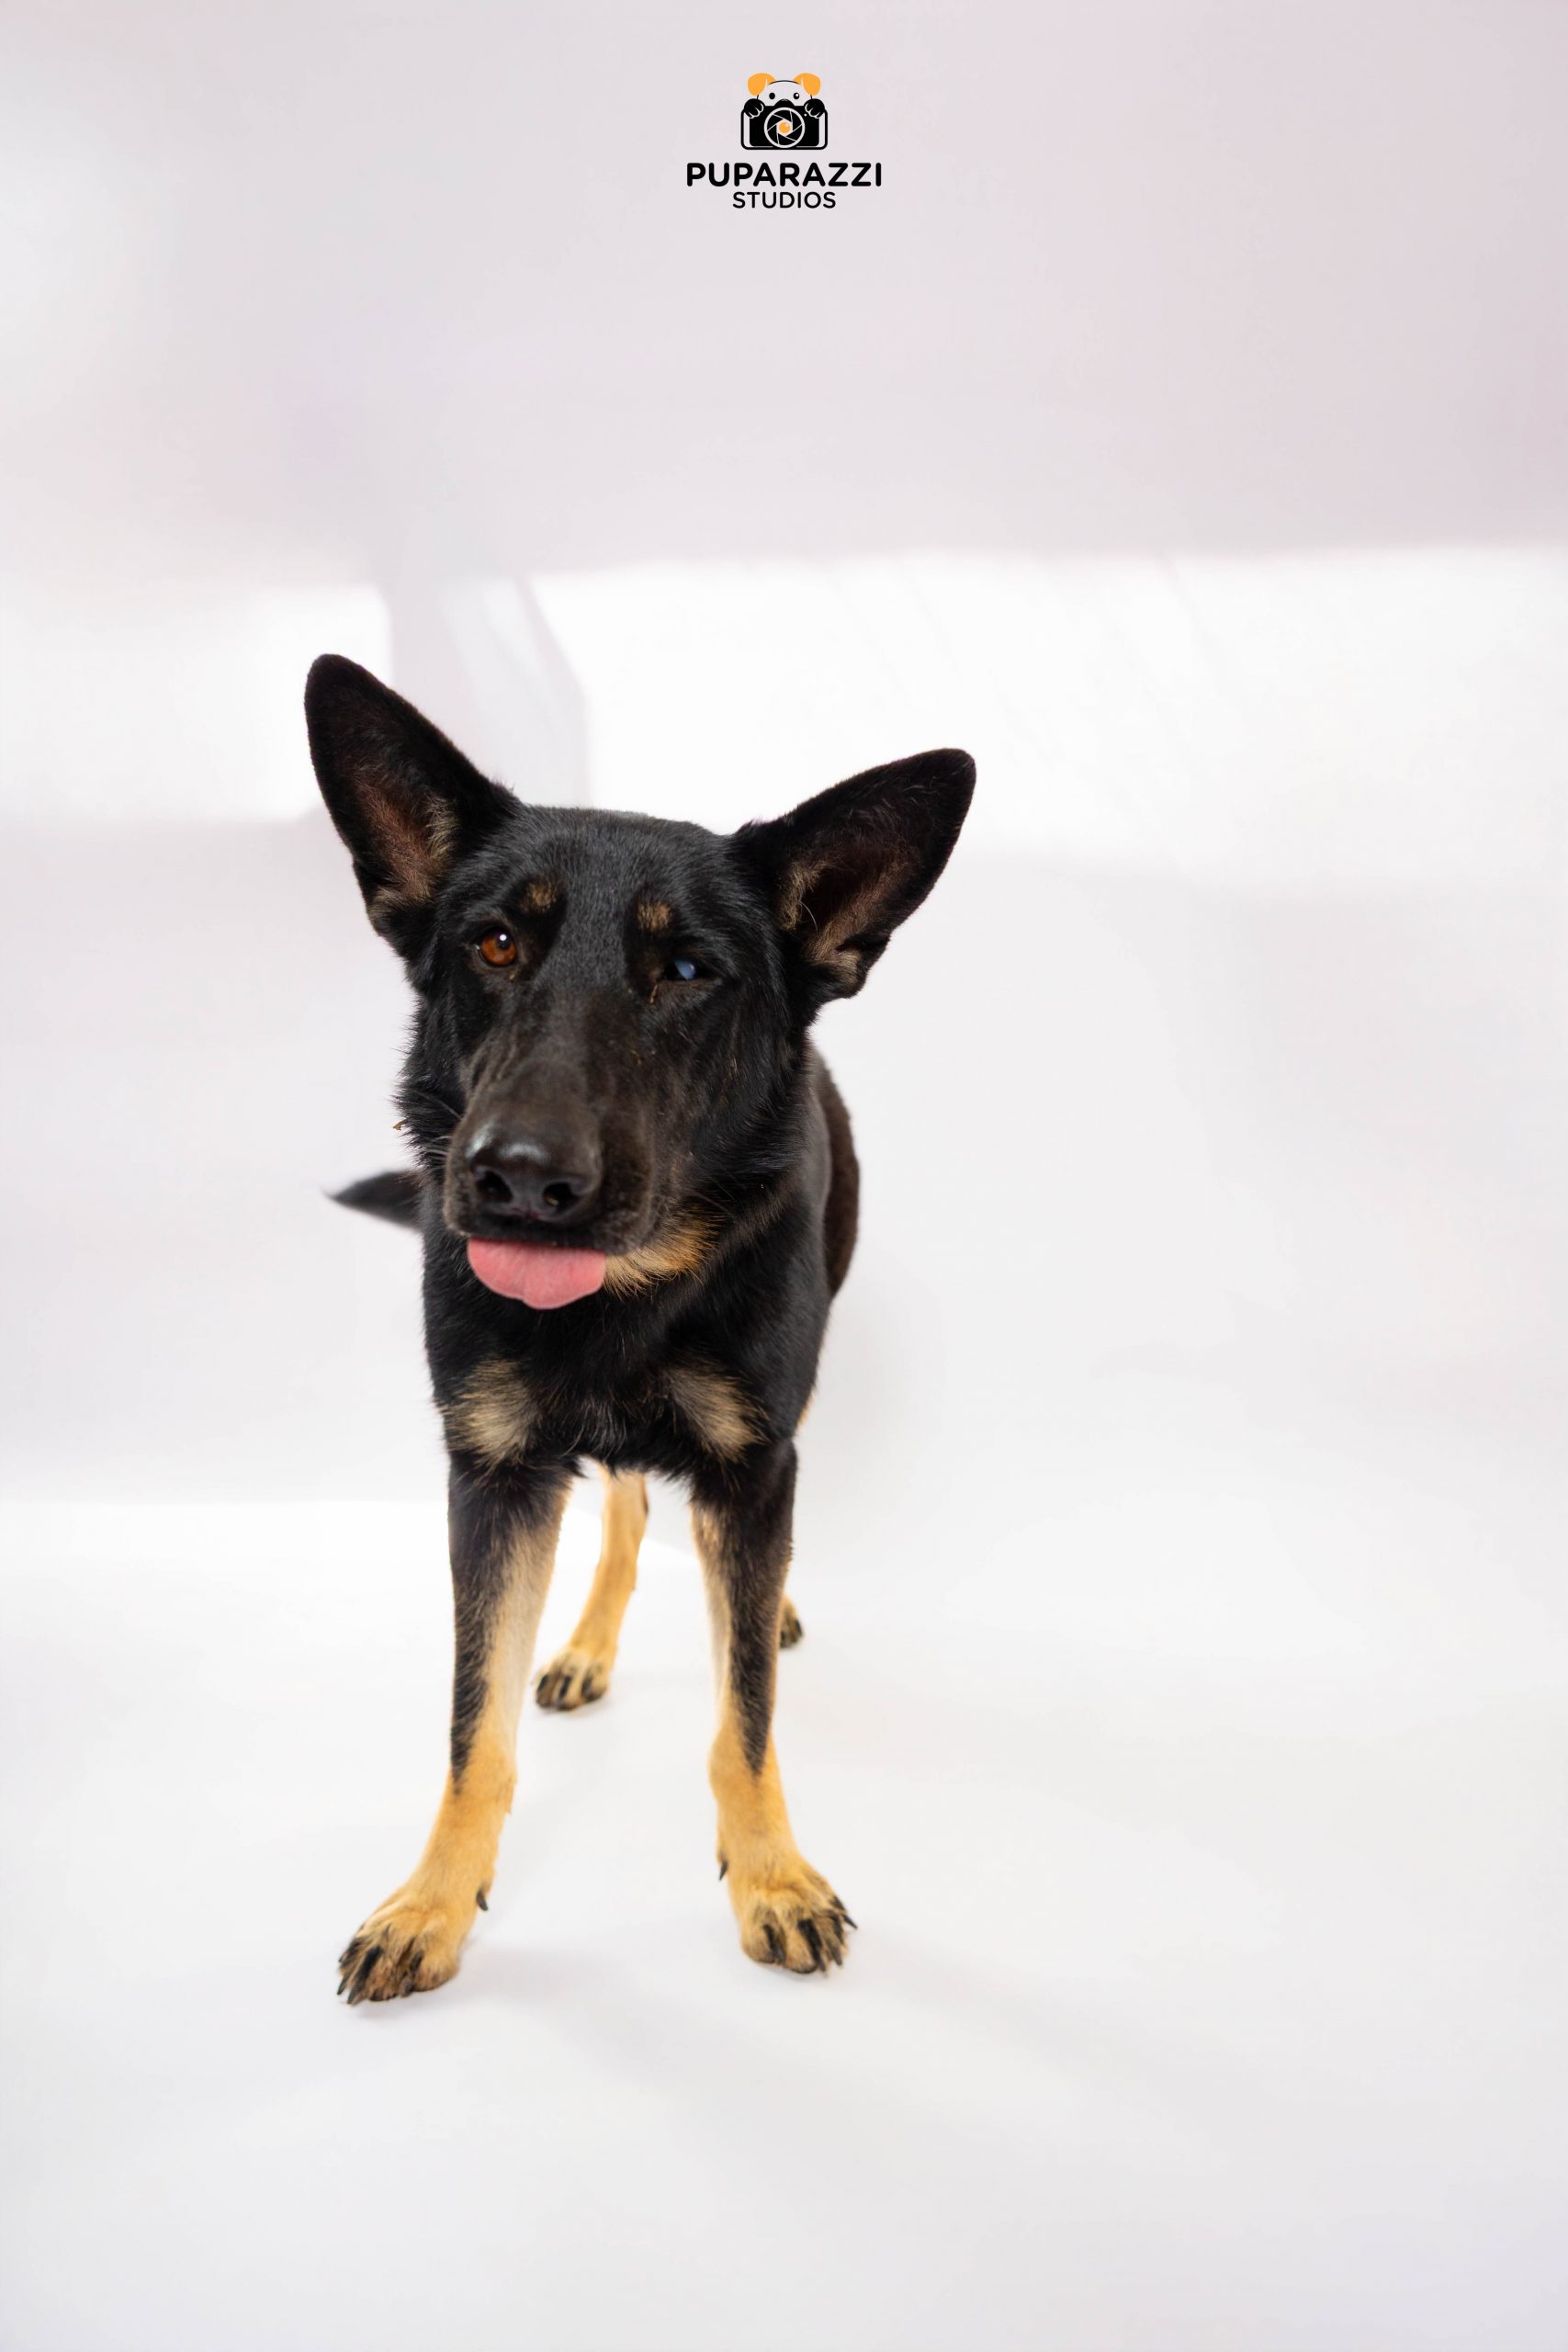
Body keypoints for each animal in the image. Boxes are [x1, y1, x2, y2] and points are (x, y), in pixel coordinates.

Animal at [306, 655, 974, 1999]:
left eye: (688, 972)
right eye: (495, 942)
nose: (517, 1178)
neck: (623, 1297)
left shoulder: (752, 1461)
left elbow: (743, 1714)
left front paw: (770, 1874)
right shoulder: (493, 1476)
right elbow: (473, 1728)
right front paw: (434, 1902)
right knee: (619, 1506)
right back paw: (587, 1642)